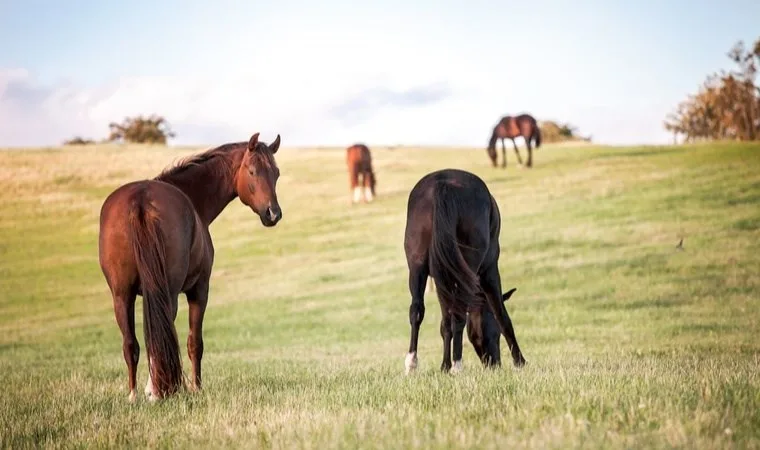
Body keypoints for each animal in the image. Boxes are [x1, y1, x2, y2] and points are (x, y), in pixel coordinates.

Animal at [97, 133, 282, 400]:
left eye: (276, 173)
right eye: (252, 171)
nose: (273, 213)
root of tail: (139, 201)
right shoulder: (199, 290)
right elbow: (195, 343)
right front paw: (195, 386)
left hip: (121, 295)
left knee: (131, 343)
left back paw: (134, 394)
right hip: (169, 292)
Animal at [400, 169, 524, 372]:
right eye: (495, 332)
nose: (494, 363)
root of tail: (443, 185)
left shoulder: (442, 279)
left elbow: (445, 323)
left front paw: (444, 366)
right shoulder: (489, 271)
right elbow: (501, 314)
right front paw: (520, 361)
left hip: (418, 267)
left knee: (417, 310)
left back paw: (412, 363)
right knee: (458, 315)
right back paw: (457, 365)